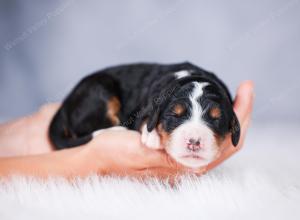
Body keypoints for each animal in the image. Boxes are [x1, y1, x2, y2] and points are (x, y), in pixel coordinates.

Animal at [49, 62, 241, 168]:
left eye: (216, 119)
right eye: (175, 115)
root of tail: (65, 105)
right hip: (99, 91)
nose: (194, 141)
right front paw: (152, 135)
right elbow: (146, 118)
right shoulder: (142, 109)